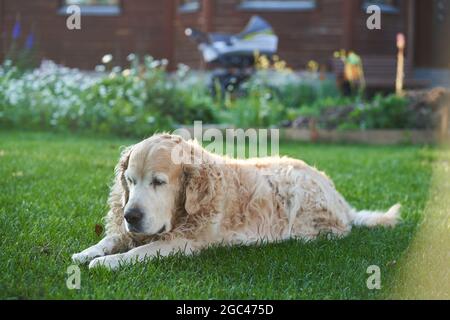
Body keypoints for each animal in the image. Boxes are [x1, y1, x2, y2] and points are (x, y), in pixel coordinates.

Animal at [71, 133, 400, 270]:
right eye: (129, 180)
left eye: (158, 182)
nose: (131, 216)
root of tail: (339, 197)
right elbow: (112, 239)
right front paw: (88, 252)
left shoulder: (185, 242)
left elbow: (139, 252)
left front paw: (107, 262)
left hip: (298, 188)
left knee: (337, 230)